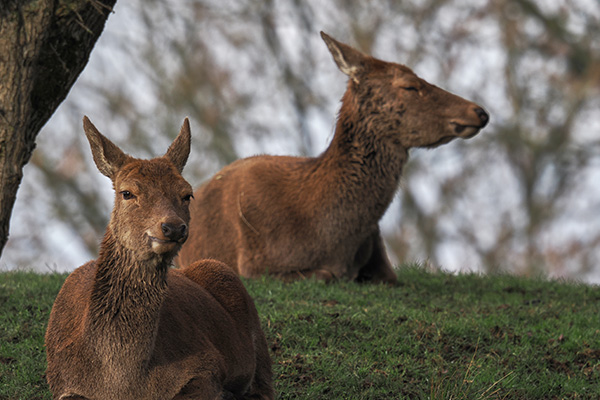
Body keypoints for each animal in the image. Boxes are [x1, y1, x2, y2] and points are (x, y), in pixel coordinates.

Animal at [44, 116, 274, 400]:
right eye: (127, 192)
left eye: (187, 194)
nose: (173, 227)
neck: (122, 381)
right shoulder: (65, 384)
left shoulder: (206, 364)